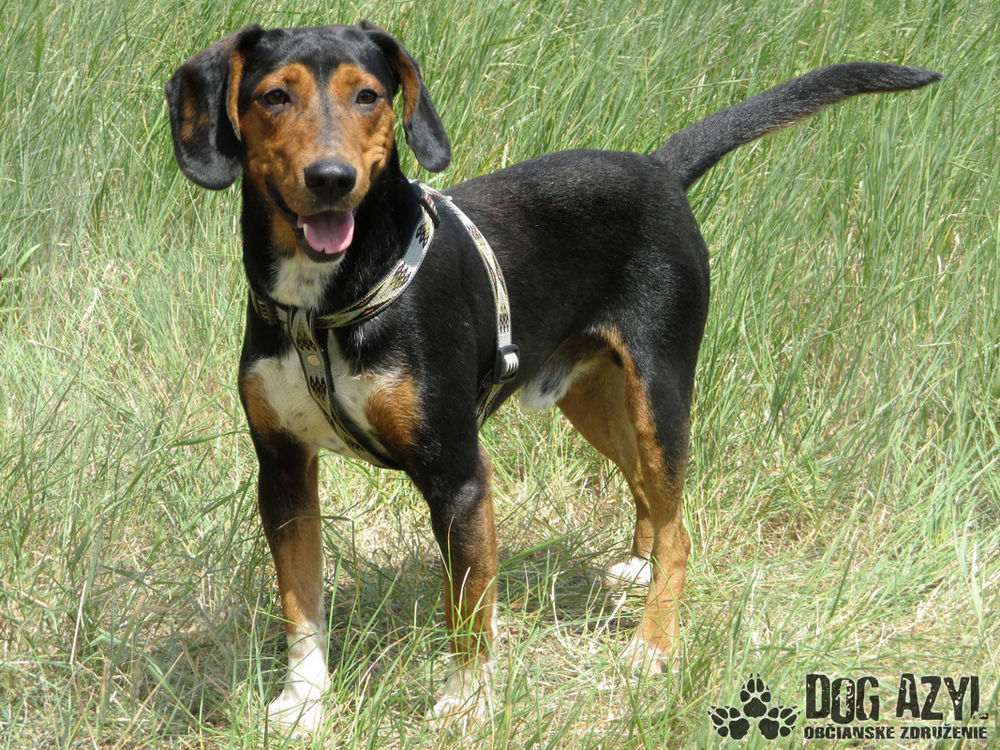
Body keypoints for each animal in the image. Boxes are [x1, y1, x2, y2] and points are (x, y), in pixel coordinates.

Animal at [165, 21, 939, 733]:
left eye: (369, 96)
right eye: (274, 96)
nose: (332, 180)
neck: (323, 302)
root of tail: (658, 169)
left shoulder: (459, 476)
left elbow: (468, 610)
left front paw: (466, 702)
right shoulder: (282, 470)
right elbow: (301, 603)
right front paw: (304, 703)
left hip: (659, 393)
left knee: (681, 529)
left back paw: (654, 644)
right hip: (593, 399)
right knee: (650, 495)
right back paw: (638, 566)